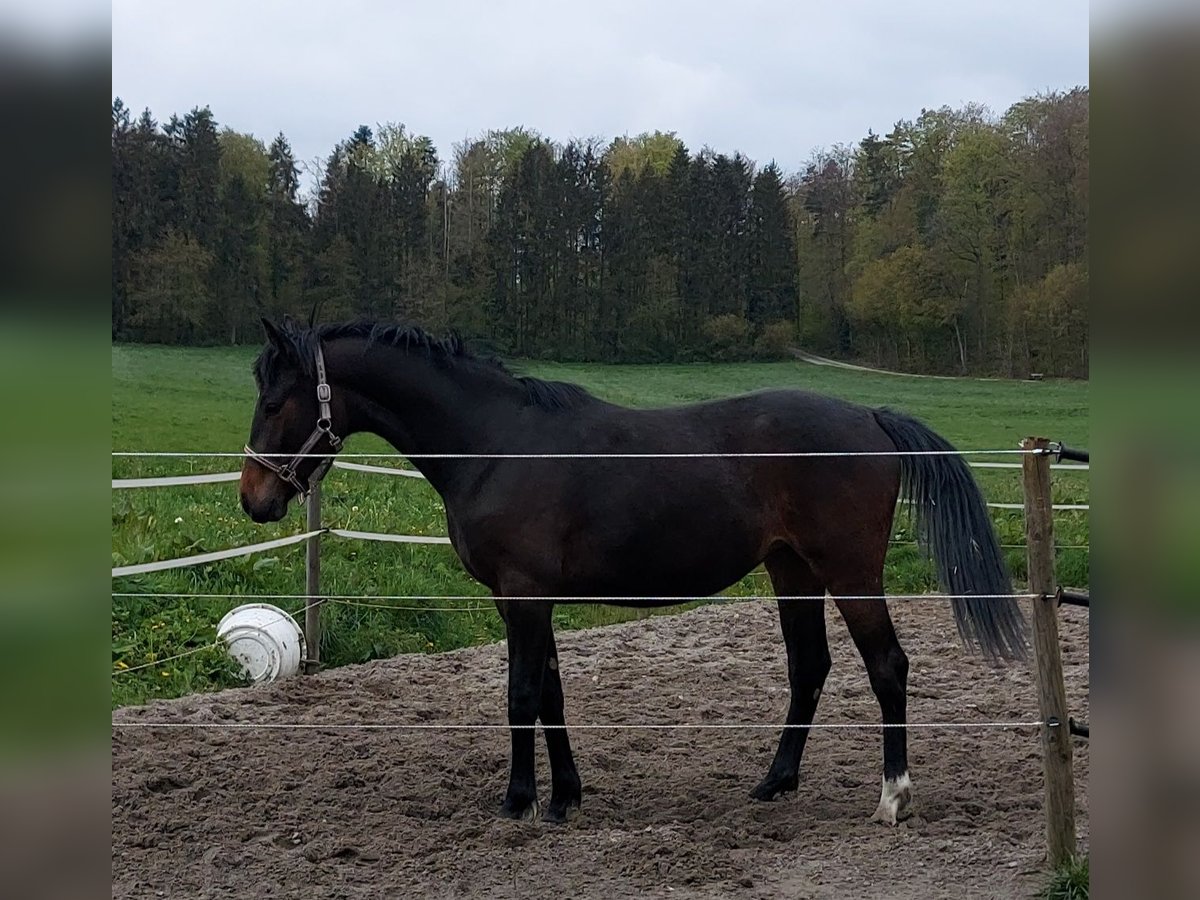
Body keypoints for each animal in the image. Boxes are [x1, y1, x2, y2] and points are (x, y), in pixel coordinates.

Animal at [238, 316, 1027, 825]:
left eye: (276, 401)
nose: (254, 499)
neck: (496, 443)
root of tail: (868, 415)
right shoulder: (527, 600)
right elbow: (552, 695)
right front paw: (565, 796)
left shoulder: (523, 596)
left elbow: (521, 694)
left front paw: (519, 801)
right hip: (792, 570)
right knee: (810, 667)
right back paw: (774, 783)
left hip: (850, 572)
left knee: (887, 666)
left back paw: (893, 798)